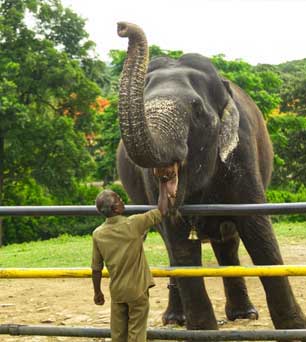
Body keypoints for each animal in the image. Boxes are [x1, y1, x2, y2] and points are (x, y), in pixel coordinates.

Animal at [115, 22, 306, 332]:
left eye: (196, 109)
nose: (122, 27)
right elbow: (180, 244)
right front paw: (202, 330)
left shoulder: (242, 150)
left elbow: (259, 231)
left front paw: (294, 327)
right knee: (173, 249)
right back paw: (176, 319)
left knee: (228, 241)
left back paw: (244, 315)